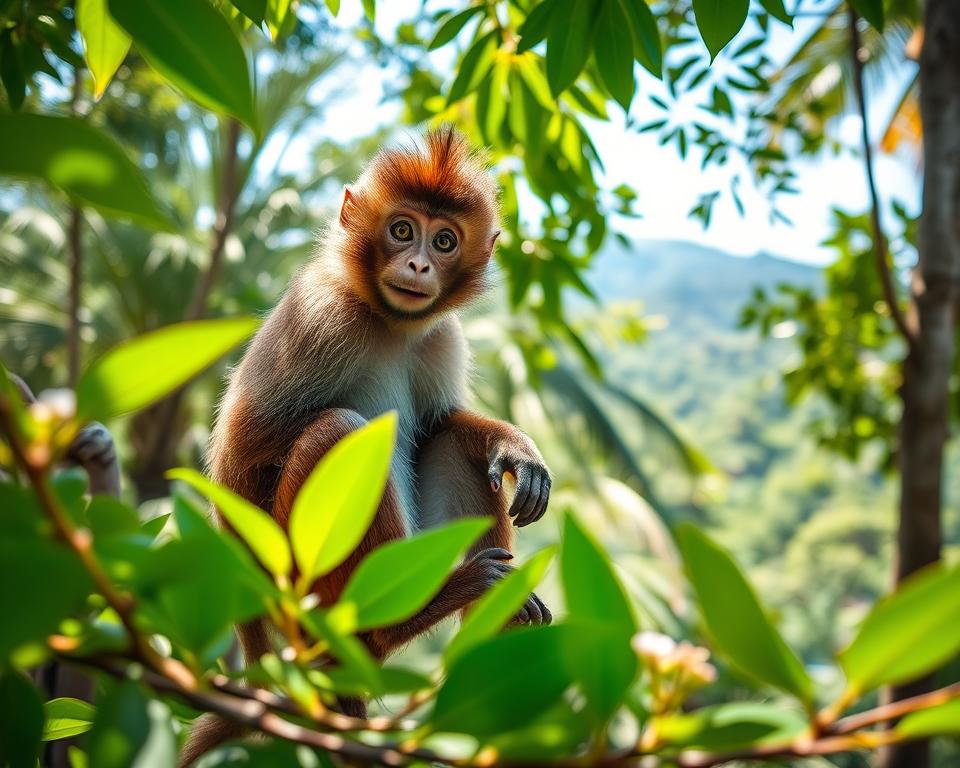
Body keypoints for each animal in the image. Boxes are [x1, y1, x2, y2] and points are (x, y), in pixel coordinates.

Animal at [179, 128, 552, 765]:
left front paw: (514, 446)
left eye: (445, 240)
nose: (419, 263)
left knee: (450, 443)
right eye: (402, 230)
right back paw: (401, 622)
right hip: (306, 583)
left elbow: (440, 422)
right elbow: (240, 458)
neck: (388, 321)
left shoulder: (441, 335)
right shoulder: (320, 316)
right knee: (338, 429)